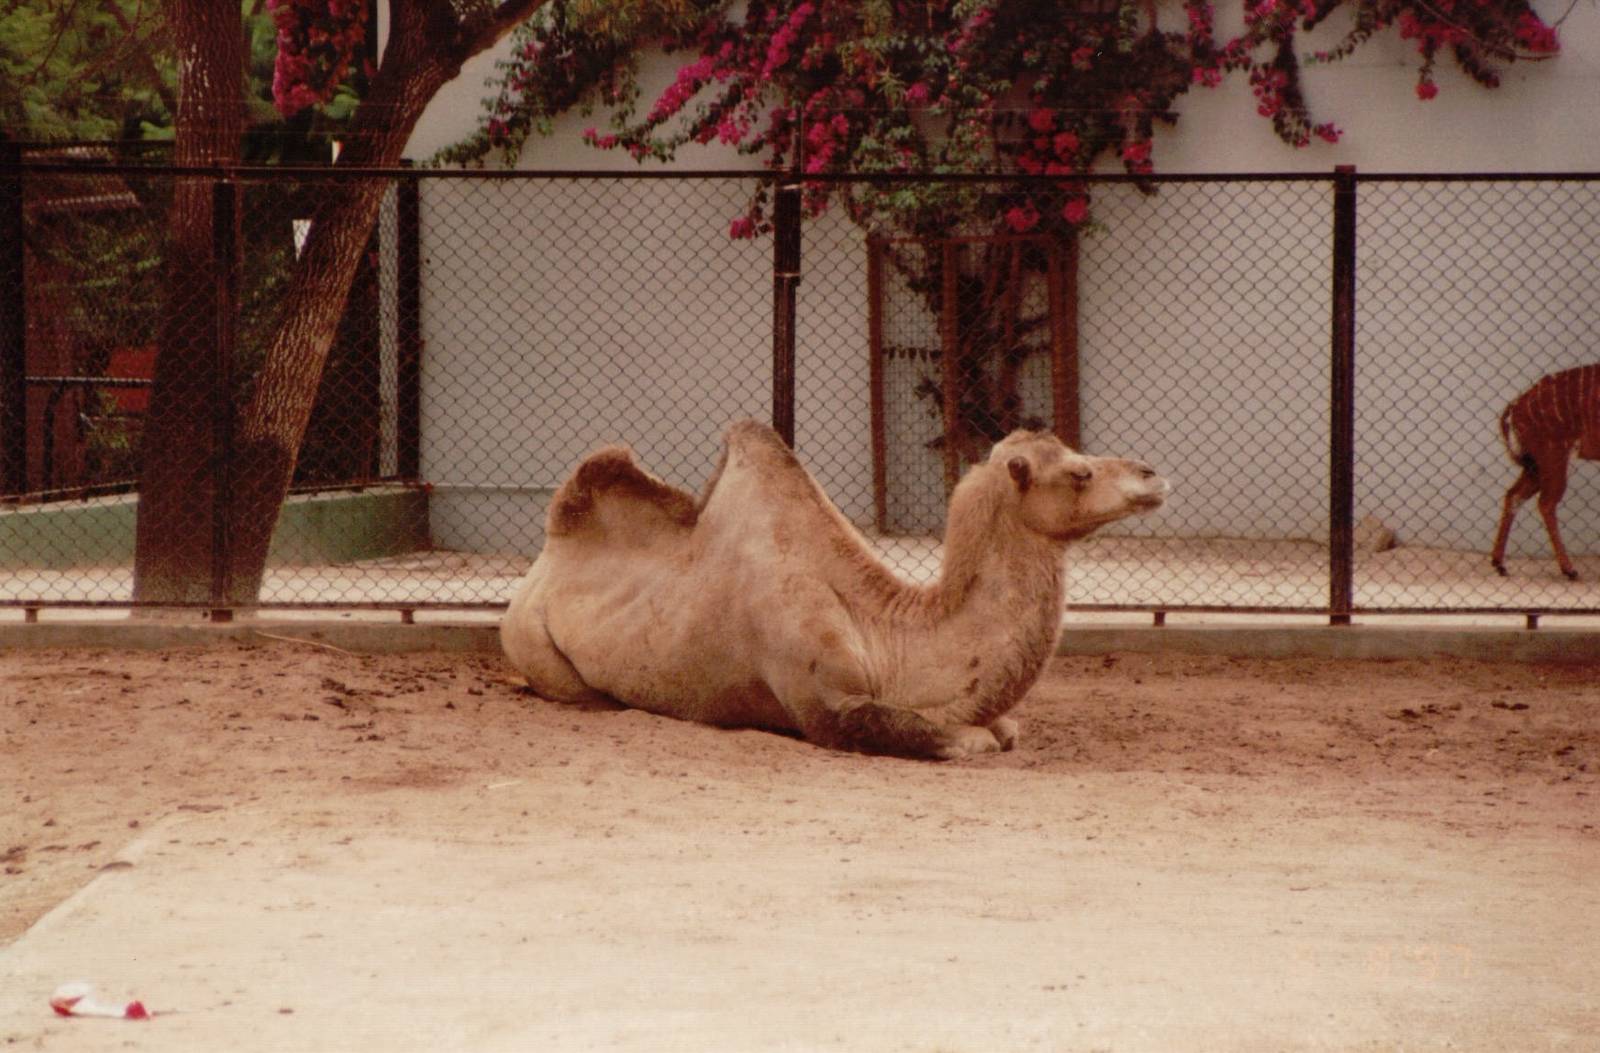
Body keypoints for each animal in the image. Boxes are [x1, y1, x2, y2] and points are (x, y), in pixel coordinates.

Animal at [500, 419, 1167, 759]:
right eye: (1079, 472)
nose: (1153, 474)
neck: (890, 637)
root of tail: (544, 563)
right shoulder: (827, 706)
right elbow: (954, 738)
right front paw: (974, 737)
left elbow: (1007, 728)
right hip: (536, 646)